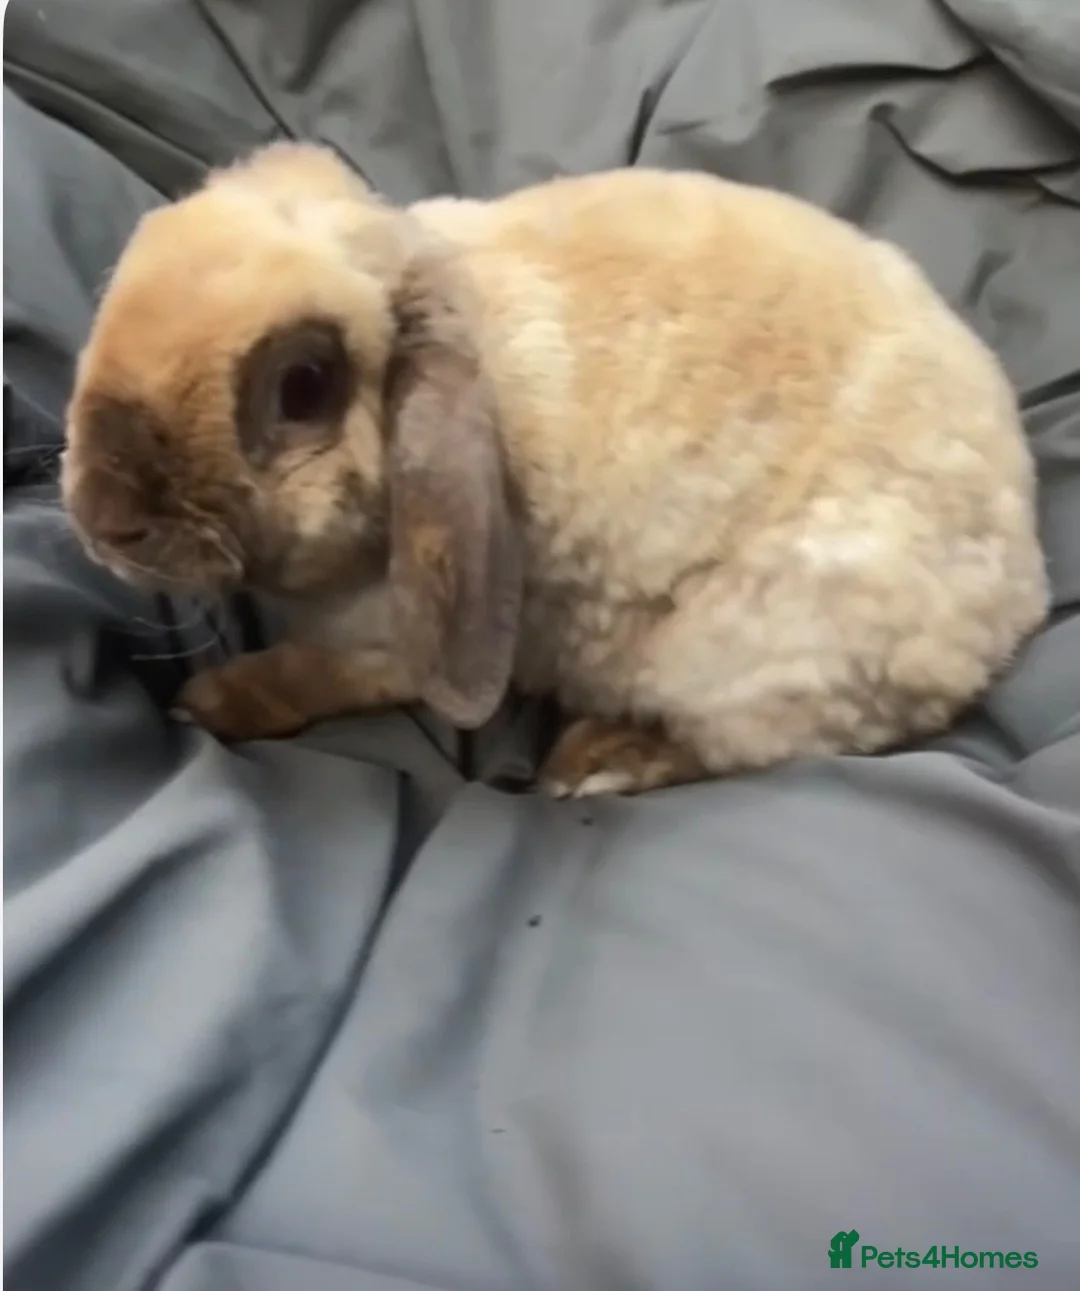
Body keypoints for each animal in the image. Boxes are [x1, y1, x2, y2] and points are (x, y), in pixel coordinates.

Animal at [61, 142, 1049, 797]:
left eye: (304, 385)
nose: (102, 518)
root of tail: (1019, 596)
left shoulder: (388, 648)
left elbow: (302, 675)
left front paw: (207, 703)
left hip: (744, 668)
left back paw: (599, 762)